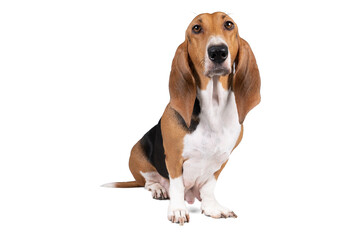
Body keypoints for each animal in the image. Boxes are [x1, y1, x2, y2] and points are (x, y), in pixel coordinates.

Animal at [102, 11, 260, 225]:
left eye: (229, 24)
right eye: (196, 28)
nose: (218, 51)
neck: (214, 108)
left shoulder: (222, 160)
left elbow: (209, 186)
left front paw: (212, 207)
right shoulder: (174, 157)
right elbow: (176, 185)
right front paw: (177, 210)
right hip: (136, 154)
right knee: (148, 181)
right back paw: (158, 188)